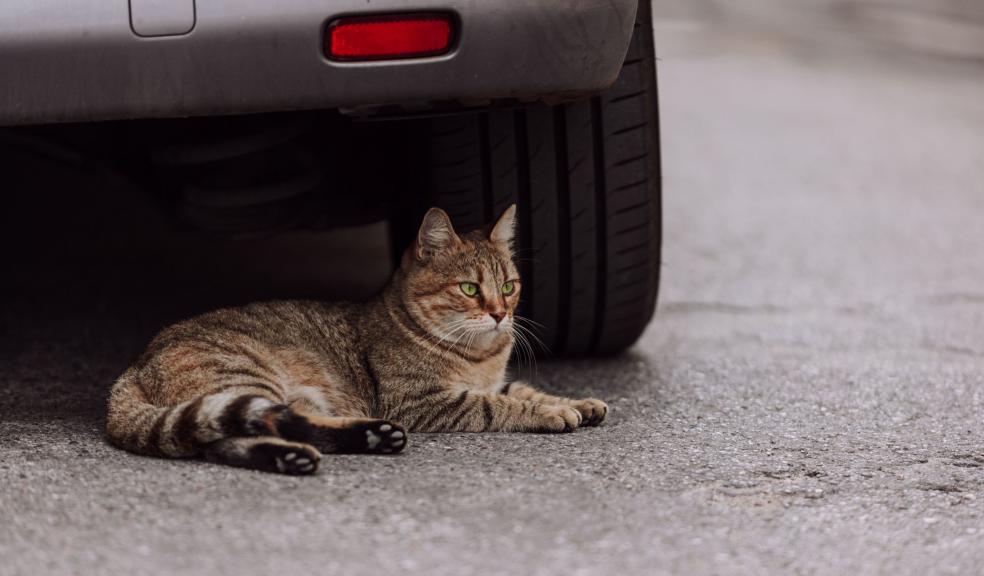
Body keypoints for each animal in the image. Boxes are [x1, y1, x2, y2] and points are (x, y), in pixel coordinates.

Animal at [107, 205, 608, 474]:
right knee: (231, 436)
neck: (479, 356)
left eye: (509, 285)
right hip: (246, 378)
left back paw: (369, 438)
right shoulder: (423, 402)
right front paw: (553, 413)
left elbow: (525, 388)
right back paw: (304, 454)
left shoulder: (493, 380)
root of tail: (133, 367)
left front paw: (578, 401)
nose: (501, 314)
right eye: (469, 288)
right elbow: (499, 405)